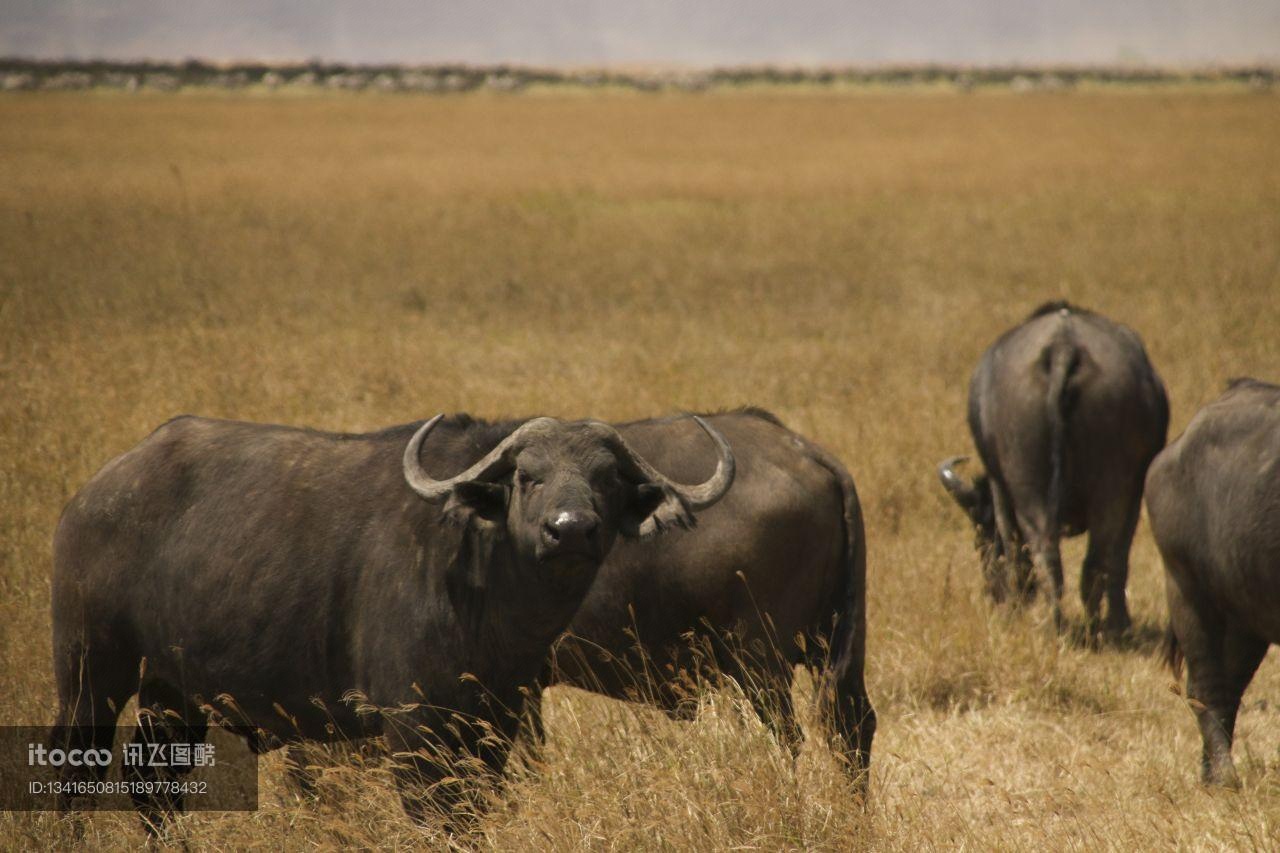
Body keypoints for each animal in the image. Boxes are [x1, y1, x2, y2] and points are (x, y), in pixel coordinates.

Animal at [52, 409, 732, 824]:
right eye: (527, 476)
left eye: (608, 477)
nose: (570, 530)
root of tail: (95, 492)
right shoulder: (411, 730)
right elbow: (434, 815)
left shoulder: (496, 726)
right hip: (90, 673)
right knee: (76, 766)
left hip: (173, 692)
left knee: (155, 786)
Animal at [936, 300, 1167, 630]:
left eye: (980, 539)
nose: (993, 595)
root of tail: (1063, 346)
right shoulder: (1133, 496)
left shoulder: (999, 489)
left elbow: (1012, 545)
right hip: (1114, 489)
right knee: (1099, 560)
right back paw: (1107, 626)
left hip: (1030, 487)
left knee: (1046, 553)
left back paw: (1054, 624)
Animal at [1152, 379, 1280, 783]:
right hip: (1187, 591)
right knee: (1205, 687)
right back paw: (1224, 776)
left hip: (1246, 617)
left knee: (1229, 688)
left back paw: (1211, 771)